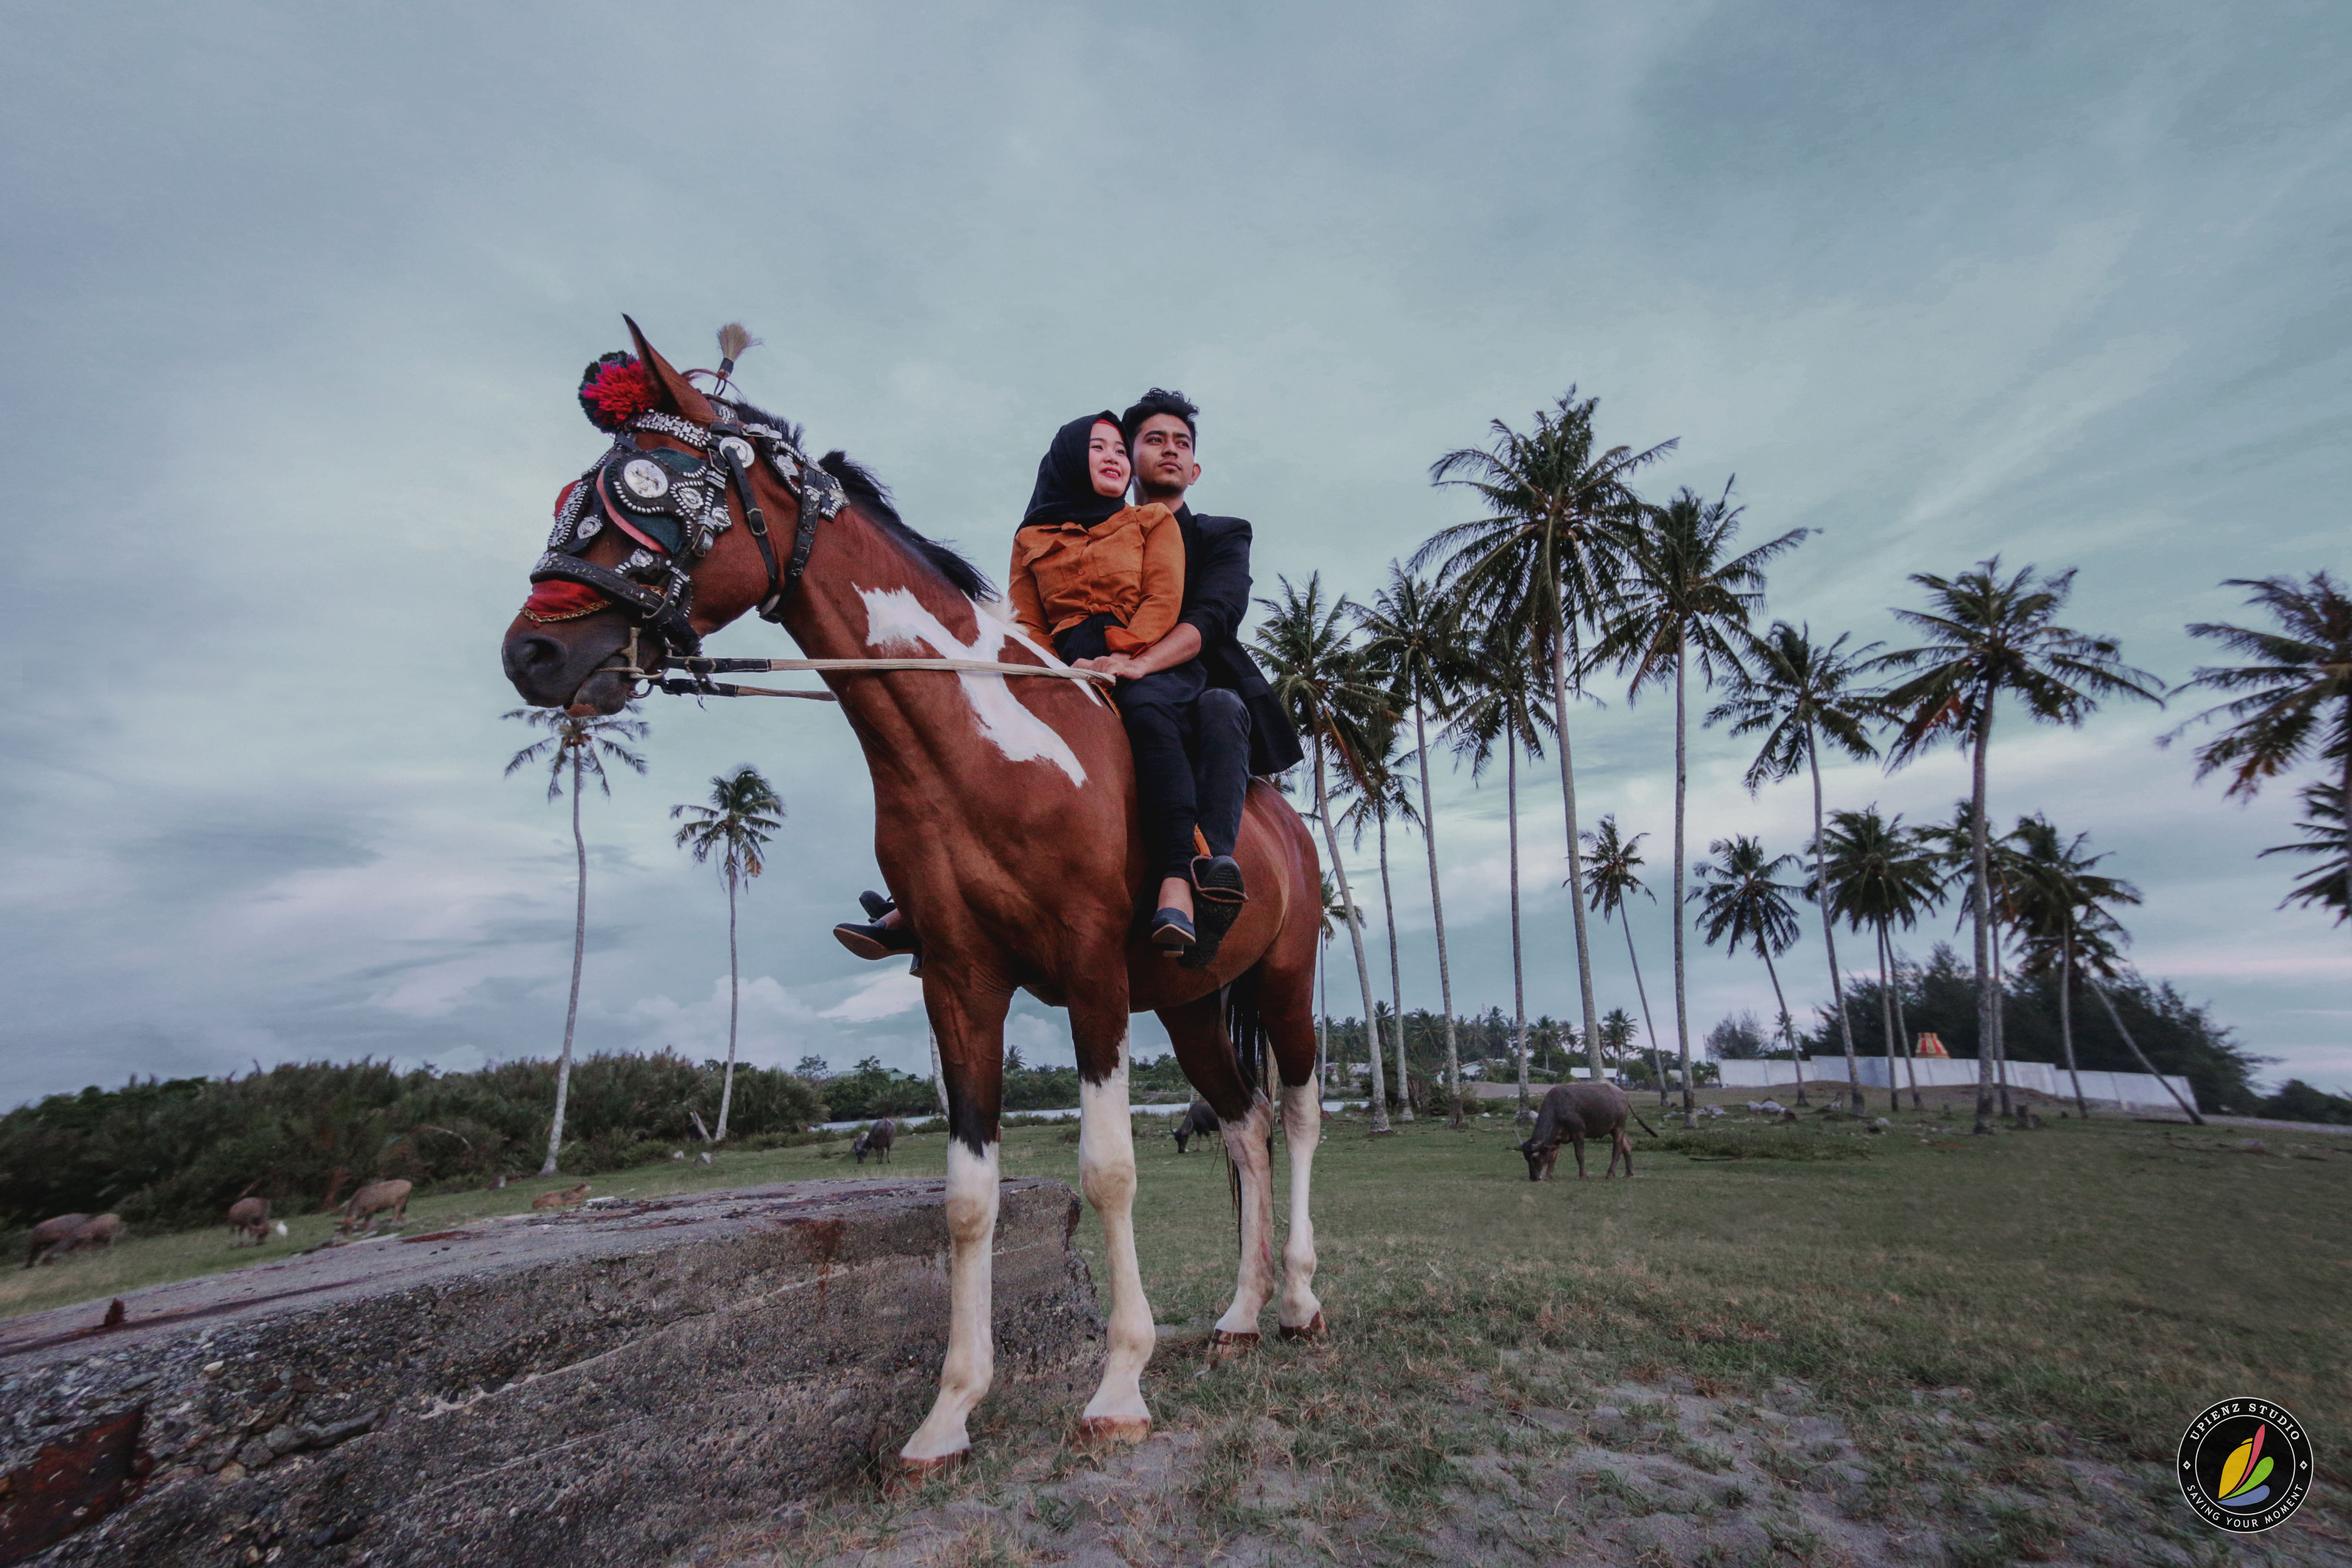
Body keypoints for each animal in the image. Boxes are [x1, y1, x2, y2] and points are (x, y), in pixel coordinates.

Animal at [336, 1175, 414, 1241]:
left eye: (352, 1226)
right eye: (344, 1226)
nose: (347, 1234)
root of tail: (410, 1184)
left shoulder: (371, 1209)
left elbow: (367, 1222)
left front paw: (366, 1230)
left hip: (400, 1201)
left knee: (397, 1213)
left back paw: (393, 1223)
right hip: (404, 1203)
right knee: (402, 1213)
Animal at [499, 322, 1336, 1476]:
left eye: (650, 488)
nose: (532, 653)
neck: (975, 737)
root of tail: (1283, 820)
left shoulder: (1091, 974)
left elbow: (1109, 1170)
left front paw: (1119, 1385)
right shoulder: (959, 980)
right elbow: (968, 1200)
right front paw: (948, 1414)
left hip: (1284, 978)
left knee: (1296, 1114)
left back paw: (1296, 1301)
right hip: (1188, 1001)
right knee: (1242, 1124)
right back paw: (1241, 1316)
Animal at [1514, 1086, 1646, 1185]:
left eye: (1535, 1157)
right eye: (1526, 1158)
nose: (1533, 1178)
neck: (1558, 1108)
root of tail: (1625, 1096)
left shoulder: (1578, 1133)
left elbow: (1580, 1154)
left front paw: (1583, 1176)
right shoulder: (1555, 1140)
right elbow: (1553, 1157)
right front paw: (1548, 1176)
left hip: (1619, 1127)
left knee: (1617, 1149)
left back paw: (1610, 1174)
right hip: (1614, 1129)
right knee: (1627, 1145)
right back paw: (1629, 1173)